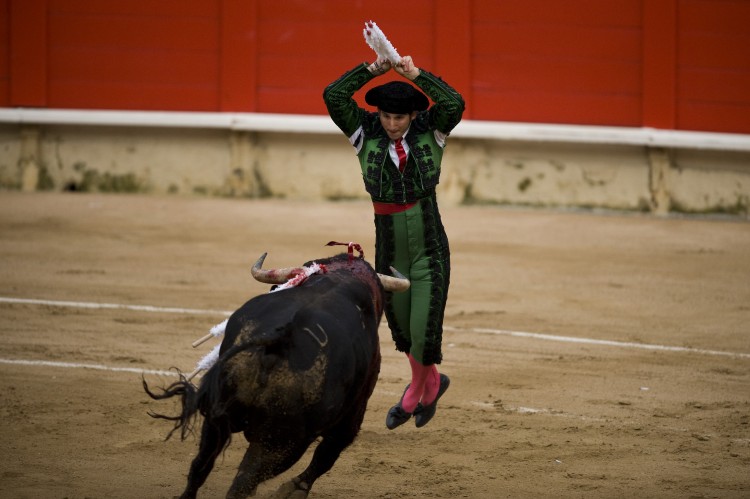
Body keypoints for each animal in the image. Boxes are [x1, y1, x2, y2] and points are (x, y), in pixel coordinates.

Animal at [144, 250, 408, 499]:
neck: (340, 278)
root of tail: (277, 341)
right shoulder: (352, 414)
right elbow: (326, 455)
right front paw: (295, 489)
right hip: (283, 442)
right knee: (244, 481)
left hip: (218, 416)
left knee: (201, 466)